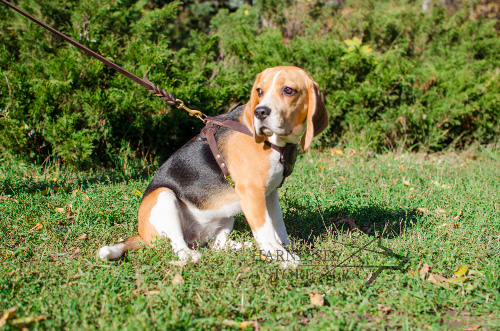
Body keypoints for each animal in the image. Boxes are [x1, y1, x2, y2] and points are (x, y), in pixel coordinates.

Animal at [98, 66, 328, 266]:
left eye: (288, 90)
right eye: (259, 91)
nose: (260, 112)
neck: (276, 143)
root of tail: (141, 234)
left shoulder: (269, 193)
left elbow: (278, 226)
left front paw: (286, 247)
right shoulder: (252, 193)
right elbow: (266, 232)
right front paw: (284, 259)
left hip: (226, 215)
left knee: (218, 245)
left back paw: (244, 246)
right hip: (164, 197)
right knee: (178, 245)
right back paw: (190, 255)